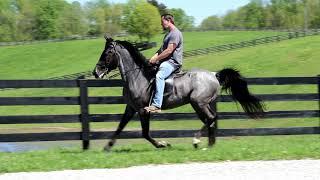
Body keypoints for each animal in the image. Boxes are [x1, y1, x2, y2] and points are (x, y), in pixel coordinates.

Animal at [92, 35, 264, 150]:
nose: (96, 72)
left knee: (211, 118)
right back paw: (208, 144)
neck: (136, 77)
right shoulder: (130, 108)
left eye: (108, 52)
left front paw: (162, 144)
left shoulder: (142, 110)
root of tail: (214, 75)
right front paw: (107, 147)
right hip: (200, 104)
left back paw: (197, 141)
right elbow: (119, 127)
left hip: (198, 102)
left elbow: (145, 133)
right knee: (210, 119)